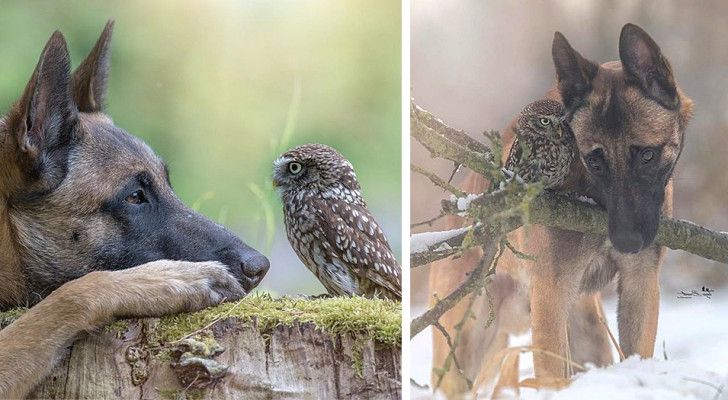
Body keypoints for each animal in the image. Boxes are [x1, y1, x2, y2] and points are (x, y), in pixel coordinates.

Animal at [430, 23, 696, 396]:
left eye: (647, 155)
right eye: (594, 161)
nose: (627, 242)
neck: (592, 195)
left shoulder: (640, 283)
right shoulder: (552, 292)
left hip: (588, 336)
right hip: (464, 357)